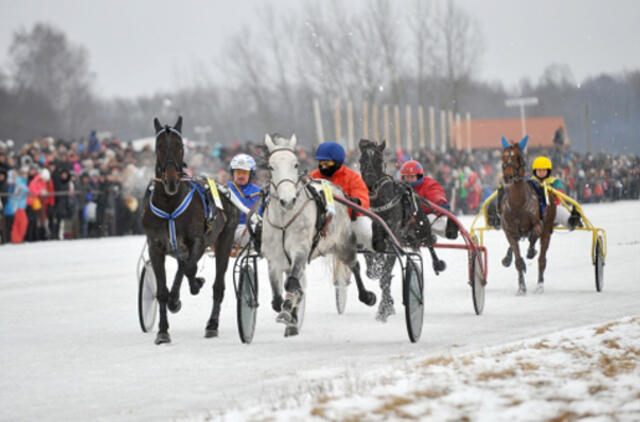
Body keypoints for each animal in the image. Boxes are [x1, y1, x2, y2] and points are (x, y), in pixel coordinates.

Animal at [141, 115, 239, 342]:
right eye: (158, 146)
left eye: (180, 145)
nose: (170, 181)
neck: (170, 205)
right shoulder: (156, 246)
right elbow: (162, 290)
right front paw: (162, 331)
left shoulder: (198, 241)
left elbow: (188, 269)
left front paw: (185, 293)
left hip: (225, 239)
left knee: (217, 286)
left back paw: (212, 324)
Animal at [262, 134, 378, 334]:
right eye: (271, 166)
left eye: (295, 164)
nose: (288, 200)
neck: (284, 220)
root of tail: (337, 189)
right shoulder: (274, 258)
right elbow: (277, 296)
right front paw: (291, 309)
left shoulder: (300, 250)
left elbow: (292, 283)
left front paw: (288, 311)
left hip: (344, 243)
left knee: (354, 265)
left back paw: (367, 296)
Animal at [360, 138, 444, 320]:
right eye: (362, 159)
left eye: (378, 159)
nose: (369, 183)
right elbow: (372, 267)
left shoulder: (394, 238)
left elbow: (385, 275)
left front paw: (384, 308)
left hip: (421, 226)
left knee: (429, 242)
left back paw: (437, 263)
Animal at [498, 137, 552, 296]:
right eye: (503, 157)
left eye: (519, 157)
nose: (508, 176)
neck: (517, 205)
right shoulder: (509, 231)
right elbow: (517, 258)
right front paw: (521, 287)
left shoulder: (538, 225)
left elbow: (534, 234)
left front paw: (531, 251)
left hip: (548, 230)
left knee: (542, 258)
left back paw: (540, 284)